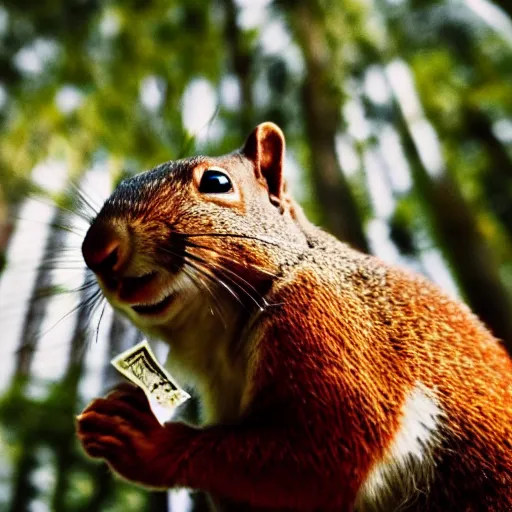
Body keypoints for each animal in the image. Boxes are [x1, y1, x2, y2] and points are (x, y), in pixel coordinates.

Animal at [77, 124, 512, 512]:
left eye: (216, 182)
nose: (97, 247)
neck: (224, 339)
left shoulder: (330, 317)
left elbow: (330, 450)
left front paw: (149, 439)